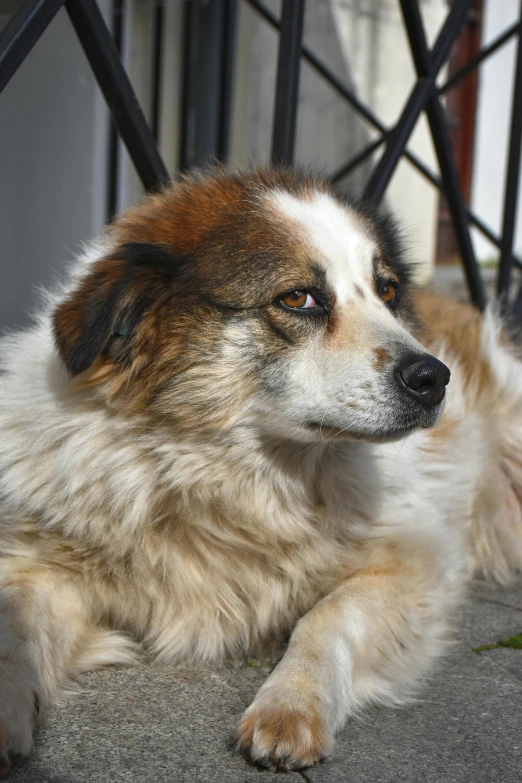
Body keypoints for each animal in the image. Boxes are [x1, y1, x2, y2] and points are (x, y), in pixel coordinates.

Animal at [1, 168, 520, 776]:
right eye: (298, 298)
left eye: (388, 292)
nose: (434, 379)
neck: (228, 478)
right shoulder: (41, 560)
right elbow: (13, 629)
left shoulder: (412, 563)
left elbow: (327, 618)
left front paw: (291, 703)